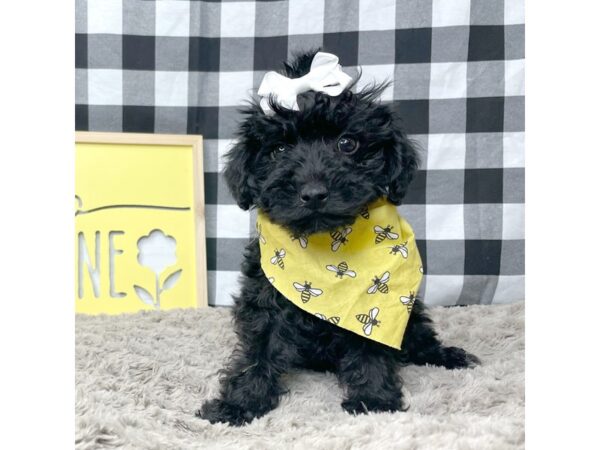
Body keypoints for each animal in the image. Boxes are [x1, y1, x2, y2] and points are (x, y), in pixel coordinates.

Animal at [197, 50, 478, 426]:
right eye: (279, 149)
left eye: (347, 143)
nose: (314, 193)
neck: (325, 246)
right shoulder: (265, 297)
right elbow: (259, 348)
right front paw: (240, 403)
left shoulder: (373, 304)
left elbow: (371, 346)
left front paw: (373, 399)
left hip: (412, 312)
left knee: (420, 338)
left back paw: (447, 356)